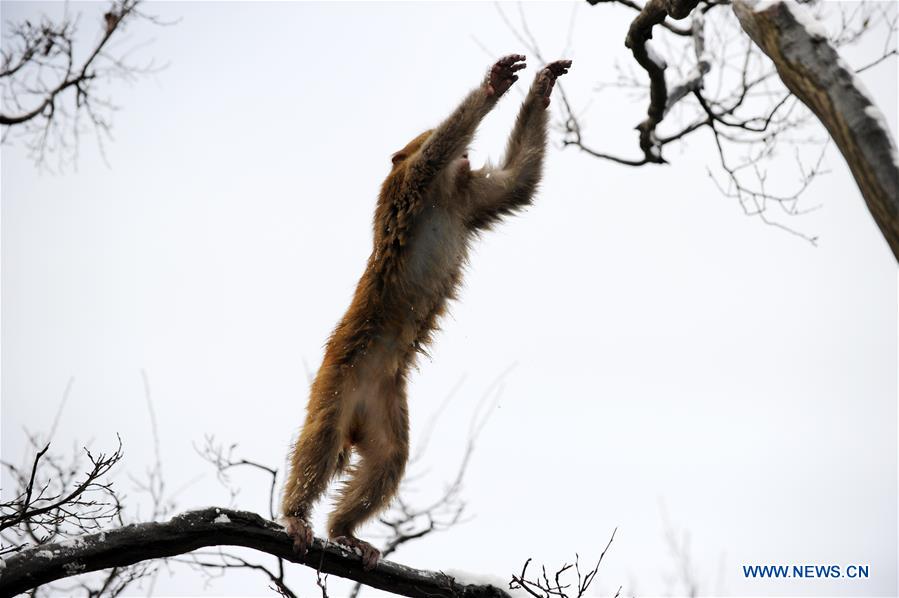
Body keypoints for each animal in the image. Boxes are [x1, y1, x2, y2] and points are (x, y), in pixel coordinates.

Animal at [284, 54, 572, 568]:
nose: (467, 160)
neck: (444, 193)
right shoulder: (410, 184)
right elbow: (436, 152)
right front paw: (492, 87)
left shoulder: (467, 199)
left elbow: (516, 183)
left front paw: (540, 89)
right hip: (337, 381)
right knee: (322, 440)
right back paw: (297, 514)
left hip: (382, 402)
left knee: (388, 458)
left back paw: (343, 529)